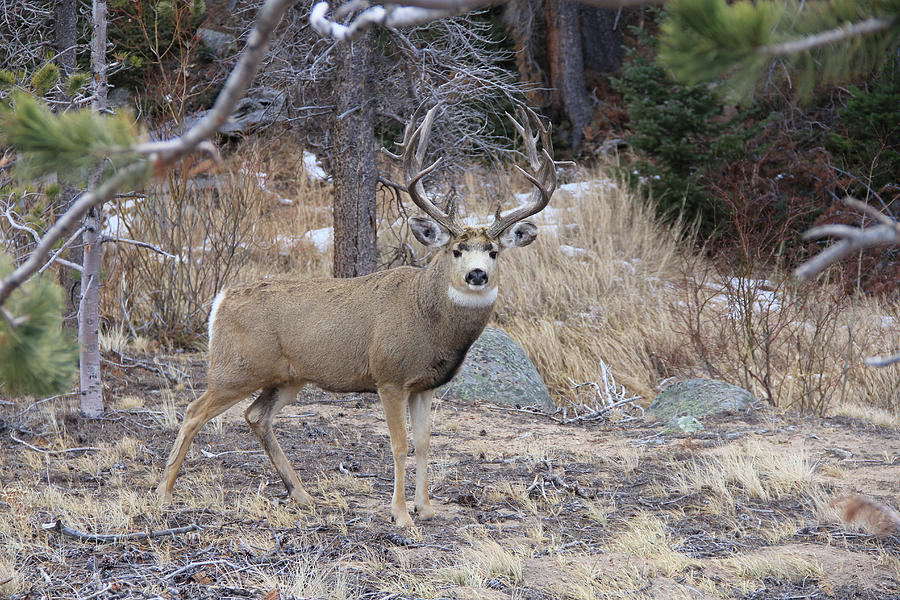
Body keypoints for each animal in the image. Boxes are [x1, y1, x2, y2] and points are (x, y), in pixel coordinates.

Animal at [158, 104, 560, 524]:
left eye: (494, 252)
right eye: (456, 251)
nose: (477, 274)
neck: (427, 318)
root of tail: (220, 300)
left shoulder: (425, 385)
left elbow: (424, 442)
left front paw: (427, 508)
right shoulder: (389, 375)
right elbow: (399, 445)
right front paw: (400, 514)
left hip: (287, 378)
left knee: (256, 416)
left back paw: (301, 494)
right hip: (236, 367)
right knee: (193, 411)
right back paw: (163, 494)